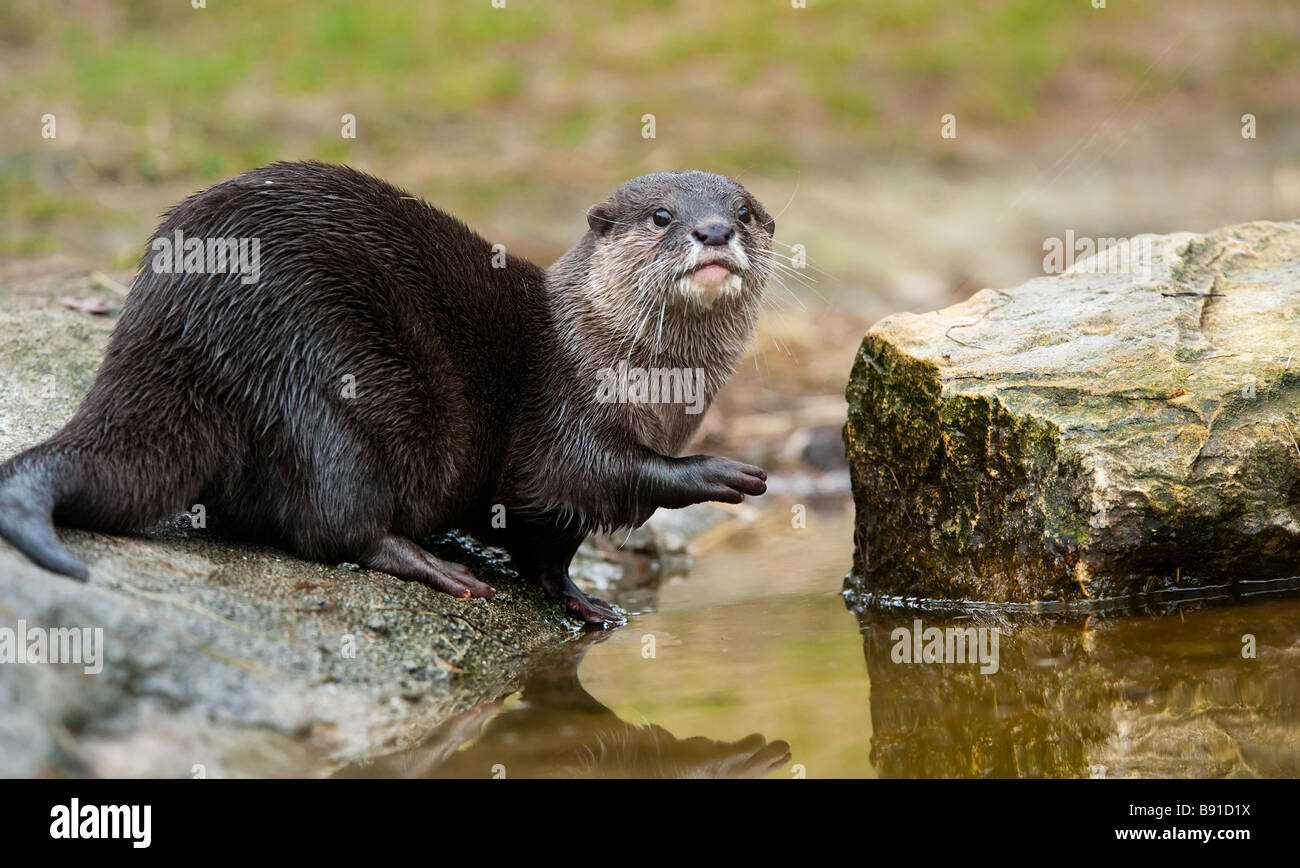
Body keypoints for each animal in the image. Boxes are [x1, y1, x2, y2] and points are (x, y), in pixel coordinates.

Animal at [0, 161, 774, 627]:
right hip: (330, 378)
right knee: (333, 525)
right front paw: (712, 472)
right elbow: (579, 478)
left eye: (746, 210)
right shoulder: (561, 415)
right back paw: (430, 563)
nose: (713, 230)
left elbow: (549, 552)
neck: (648, 391)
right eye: (662, 216)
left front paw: (587, 603)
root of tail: (180, 322)